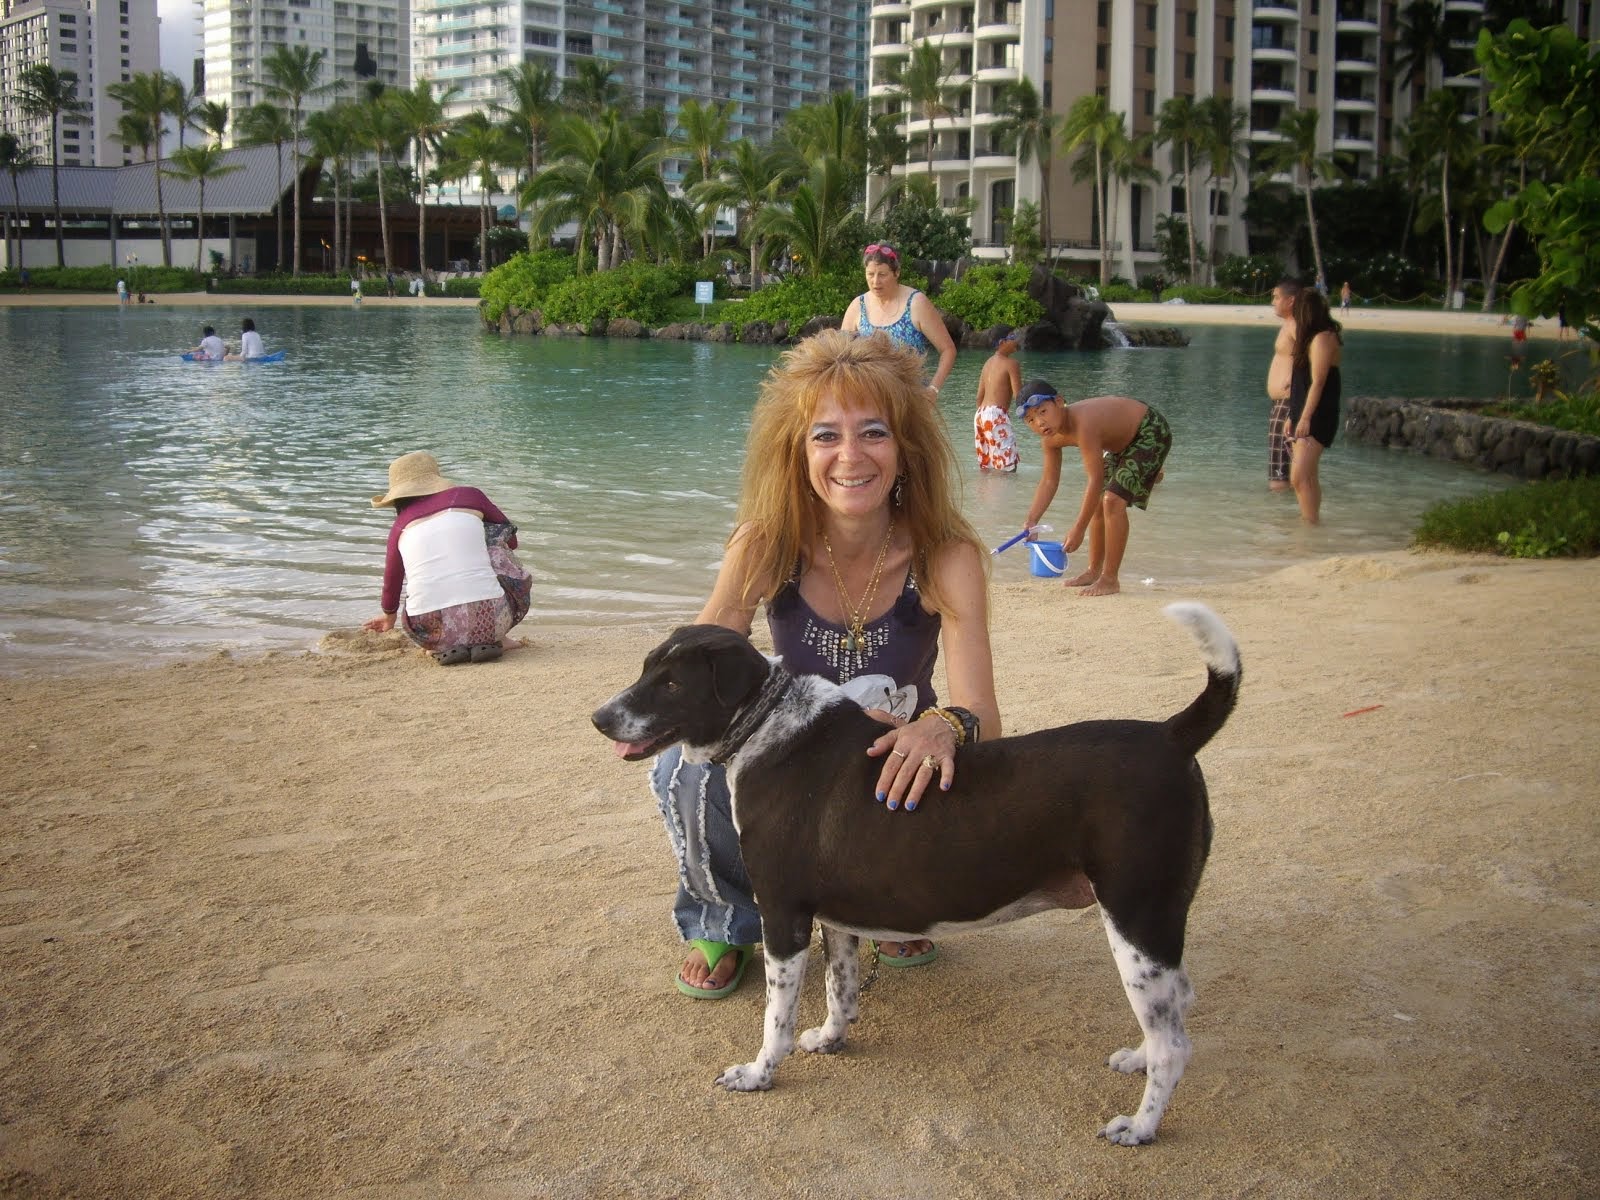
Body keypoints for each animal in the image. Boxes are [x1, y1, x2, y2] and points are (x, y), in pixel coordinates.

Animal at [598, 604, 1235, 1152]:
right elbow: (840, 988)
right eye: (646, 667)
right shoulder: (836, 919)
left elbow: (776, 1017)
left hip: (1136, 917)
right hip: (1152, 924)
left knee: (1175, 1044)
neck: (766, 728)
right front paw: (831, 1039)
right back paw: (1137, 1056)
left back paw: (1141, 1125)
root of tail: (1169, 734)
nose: (599, 718)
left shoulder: (783, 915)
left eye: (673, 684)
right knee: (1176, 1007)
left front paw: (758, 1074)